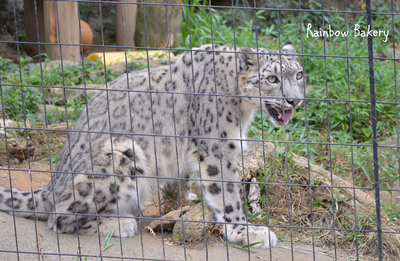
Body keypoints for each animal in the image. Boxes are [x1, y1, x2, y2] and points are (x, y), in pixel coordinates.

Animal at [0, 42, 304, 248]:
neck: (243, 109)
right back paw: (119, 222)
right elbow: (227, 193)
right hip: (121, 154)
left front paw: (188, 202)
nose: (295, 100)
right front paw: (247, 233)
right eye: (272, 78)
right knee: (59, 217)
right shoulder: (217, 148)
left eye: (298, 74)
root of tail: (51, 186)